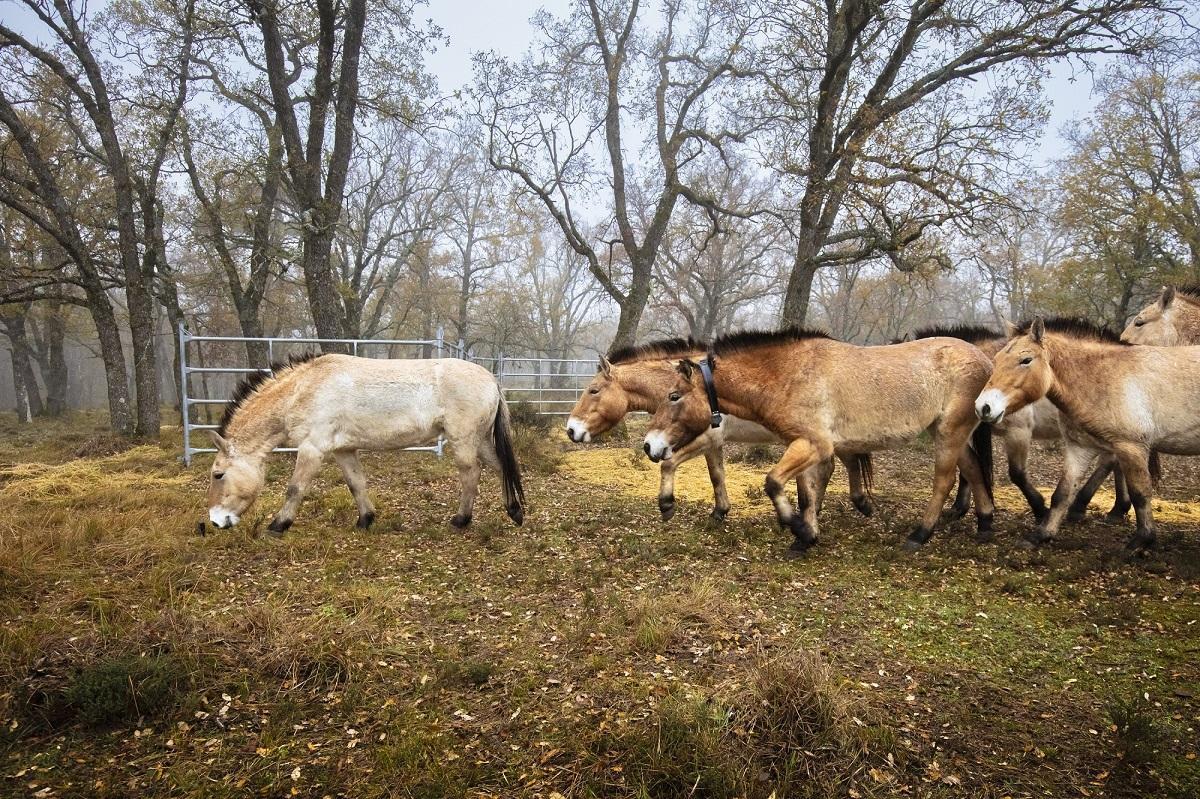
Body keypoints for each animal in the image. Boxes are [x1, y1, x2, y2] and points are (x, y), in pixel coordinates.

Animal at [206, 352, 525, 535]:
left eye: (218, 474)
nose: (214, 521)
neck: (304, 389)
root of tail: (491, 379)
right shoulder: (343, 450)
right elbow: (356, 484)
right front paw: (366, 520)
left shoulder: (312, 449)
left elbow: (295, 488)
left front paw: (278, 525)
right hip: (480, 439)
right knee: (500, 468)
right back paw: (515, 511)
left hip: (464, 440)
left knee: (471, 474)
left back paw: (461, 520)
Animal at [566, 338, 878, 520]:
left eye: (593, 390)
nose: (570, 430)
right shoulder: (713, 442)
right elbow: (716, 475)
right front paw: (720, 512)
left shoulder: (704, 438)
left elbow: (669, 464)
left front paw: (667, 505)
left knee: (838, 466)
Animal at [648, 326, 993, 551]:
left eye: (674, 396)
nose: (650, 445)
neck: (790, 374)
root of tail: (986, 361)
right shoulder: (805, 447)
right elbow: (808, 493)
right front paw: (807, 537)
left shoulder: (814, 444)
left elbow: (774, 482)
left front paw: (798, 528)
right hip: (945, 431)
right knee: (973, 468)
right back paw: (985, 523)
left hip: (949, 432)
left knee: (944, 480)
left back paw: (919, 535)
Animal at [974, 316, 1200, 547]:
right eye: (997, 359)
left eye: (1026, 360)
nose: (984, 406)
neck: (1105, 375)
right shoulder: (1079, 448)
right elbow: (1062, 494)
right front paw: (1041, 534)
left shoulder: (1131, 447)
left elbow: (1141, 494)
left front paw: (1142, 540)